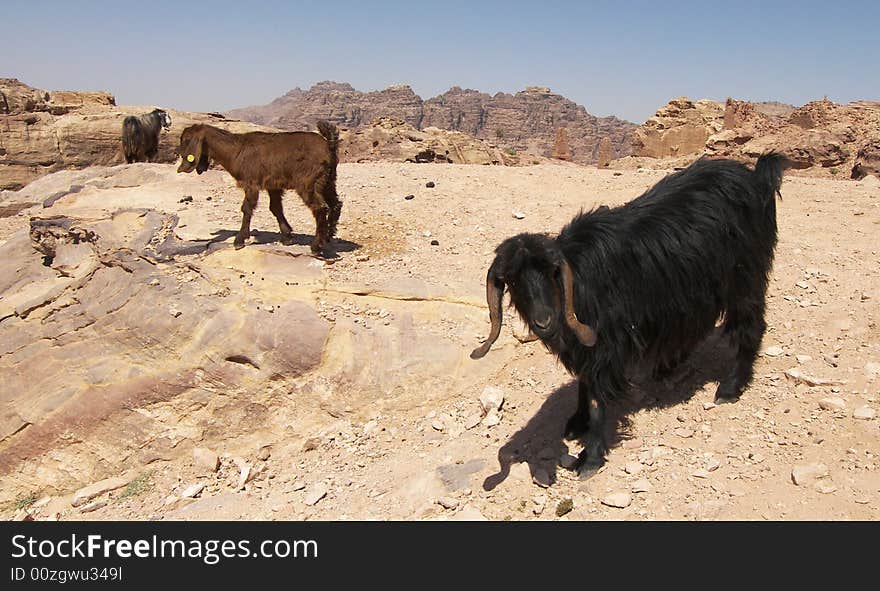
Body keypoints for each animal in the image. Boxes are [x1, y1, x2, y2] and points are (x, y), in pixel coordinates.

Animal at [177, 122, 342, 254]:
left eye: (185, 140)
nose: (181, 168)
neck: (235, 150)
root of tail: (329, 147)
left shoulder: (251, 184)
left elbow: (247, 208)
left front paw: (239, 240)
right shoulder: (273, 186)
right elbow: (275, 208)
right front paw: (287, 237)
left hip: (308, 184)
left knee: (320, 208)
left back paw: (316, 247)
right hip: (328, 182)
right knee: (336, 204)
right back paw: (328, 236)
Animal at [470, 151, 788, 476]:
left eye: (551, 273)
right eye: (512, 281)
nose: (544, 321)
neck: (580, 280)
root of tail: (755, 177)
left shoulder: (607, 344)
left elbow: (597, 398)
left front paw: (591, 457)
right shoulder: (588, 346)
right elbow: (584, 383)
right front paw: (577, 422)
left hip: (744, 278)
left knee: (750, 325)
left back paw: (731, 387)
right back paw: (669, 365)